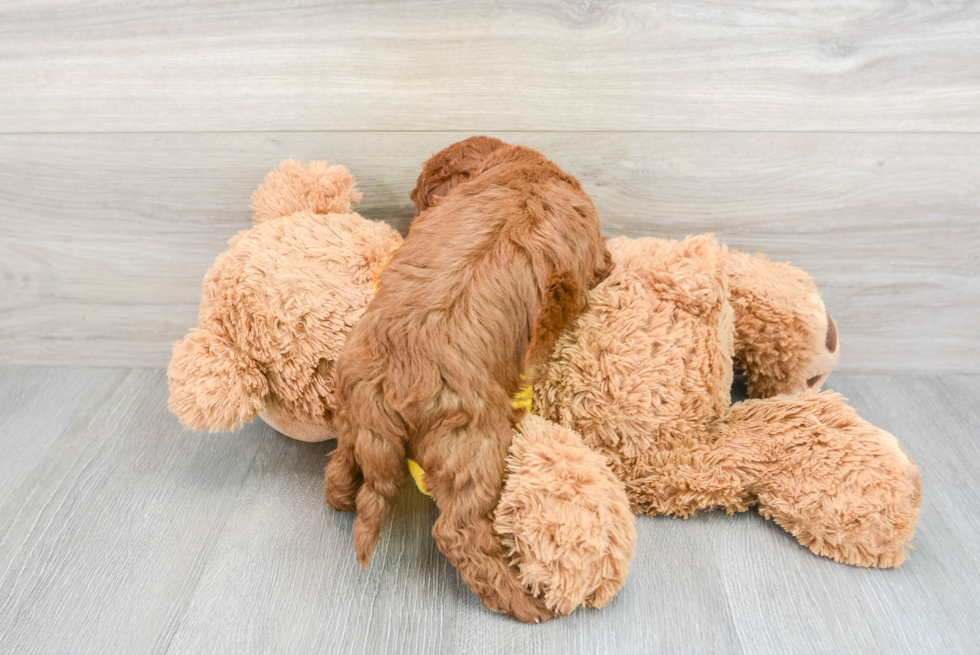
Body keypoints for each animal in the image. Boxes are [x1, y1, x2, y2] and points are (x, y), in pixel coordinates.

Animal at [326, 136, 608, 624]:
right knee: (457, 531)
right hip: (476, 449)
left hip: (351, 416)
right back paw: (520, 600)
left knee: (341, 465)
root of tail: (385, 388)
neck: (525, 170)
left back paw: (340, 498)